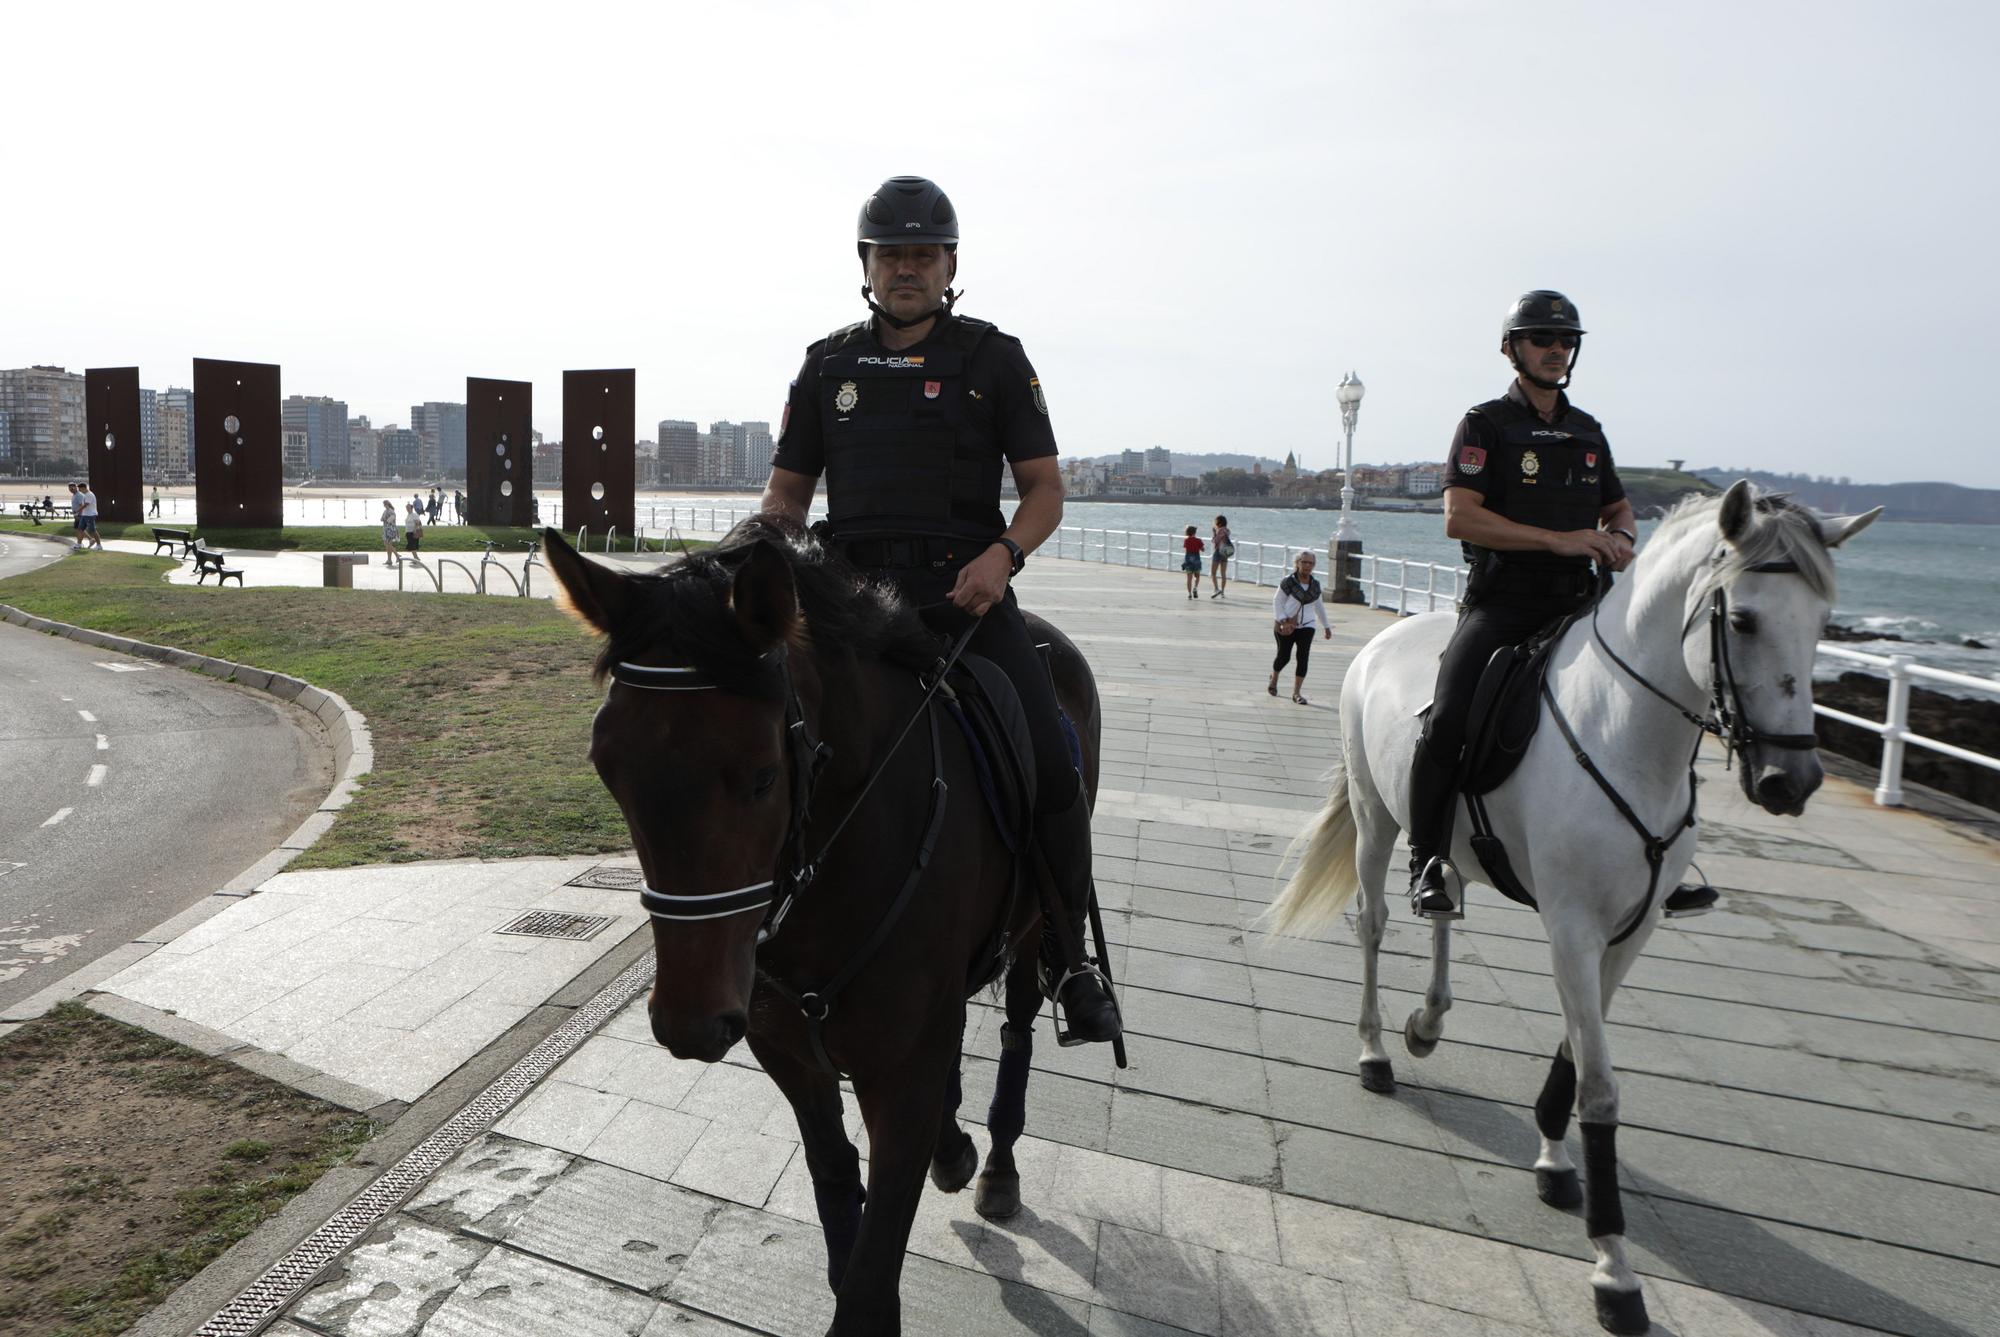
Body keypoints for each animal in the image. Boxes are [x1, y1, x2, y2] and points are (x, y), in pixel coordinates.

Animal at [548, 516, 1104, 1328]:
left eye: (762, 775)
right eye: (606, 768)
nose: (689, 1023)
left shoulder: (900, 1078)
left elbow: (873, 1268)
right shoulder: (789, 1049)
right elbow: (836, 1176)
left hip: (1034, 924)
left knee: (1020, 1025)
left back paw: (998, 1159)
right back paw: (956, 1145)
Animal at [1272, 482, 1880, 1337]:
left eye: (1825, 623)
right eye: (1745, 619)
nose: (1791, 781)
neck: (1627, 730)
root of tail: (1384, 639)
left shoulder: (1631, 929)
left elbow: (1574, 1047)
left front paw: (1555, 1159)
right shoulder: (1572, 927)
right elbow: (1599, 1081)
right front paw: (1613, 1266)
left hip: (1446, 840)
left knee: (1443, 906)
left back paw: (1427, 1020)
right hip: (1373, 812)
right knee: (1377, 922)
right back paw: (1377, 1049)